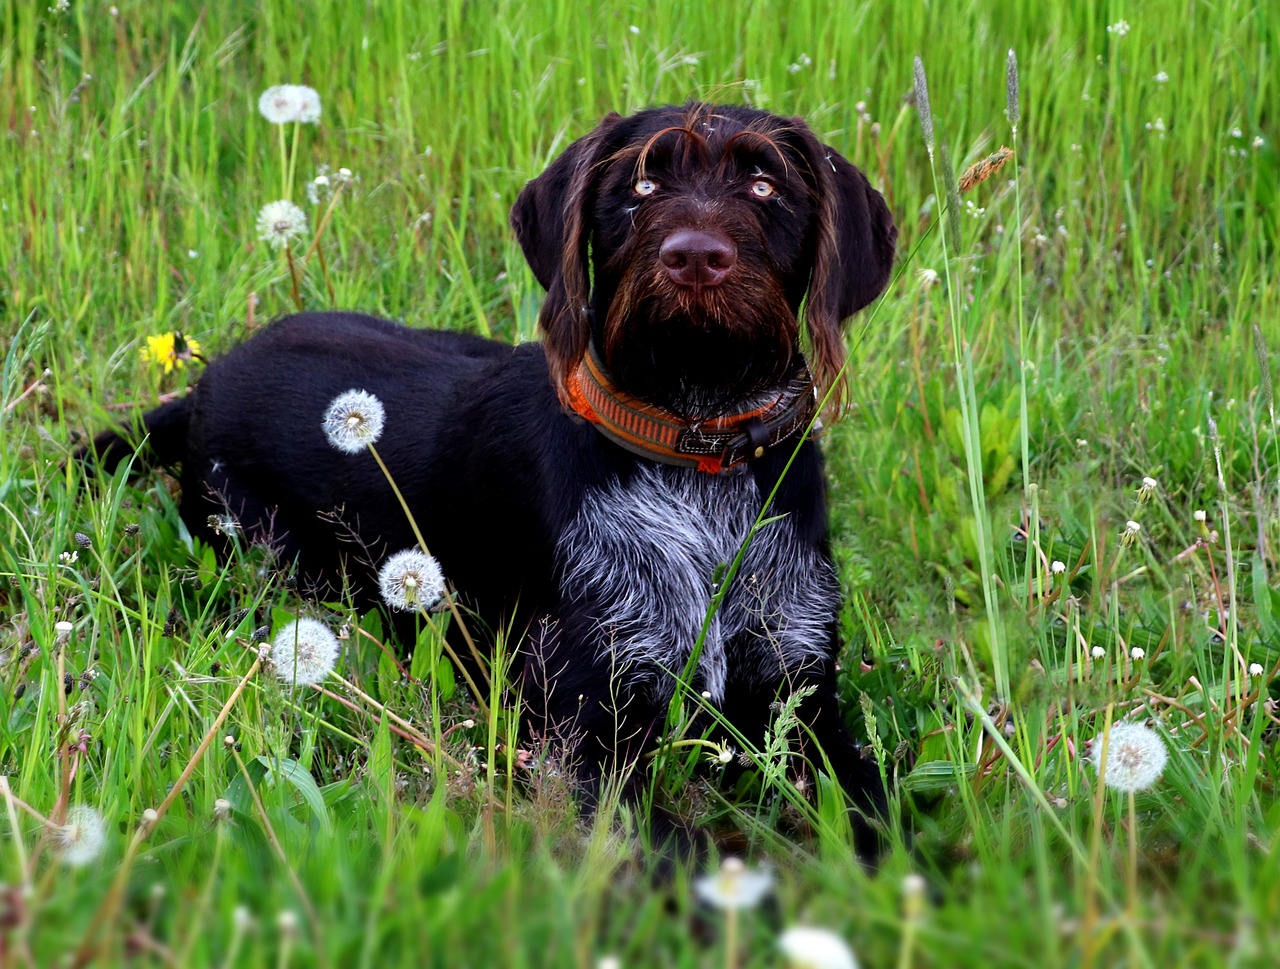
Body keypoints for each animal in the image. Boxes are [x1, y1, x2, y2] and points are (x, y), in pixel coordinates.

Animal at [87, 101, 901, 844]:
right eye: (639, 186)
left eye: (766, 186)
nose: (695, 256)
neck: (693, 451)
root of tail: (206, 381)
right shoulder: (580, 730)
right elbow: (674, 846)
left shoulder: (803, 690)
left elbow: (878, 814)